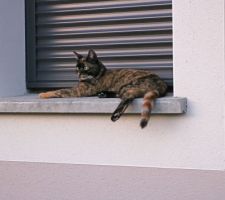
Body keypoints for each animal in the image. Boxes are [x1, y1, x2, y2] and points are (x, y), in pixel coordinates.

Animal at [39, 49, 167, 129]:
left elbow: (60, 90)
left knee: (128, 97)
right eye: (77, 68)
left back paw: (115, 115)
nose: (79, 74)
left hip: (128, 86)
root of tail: (161, 85)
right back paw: (103, 94)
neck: (99, 73)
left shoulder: (76, 91)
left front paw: (43, 94)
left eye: (85, 67)